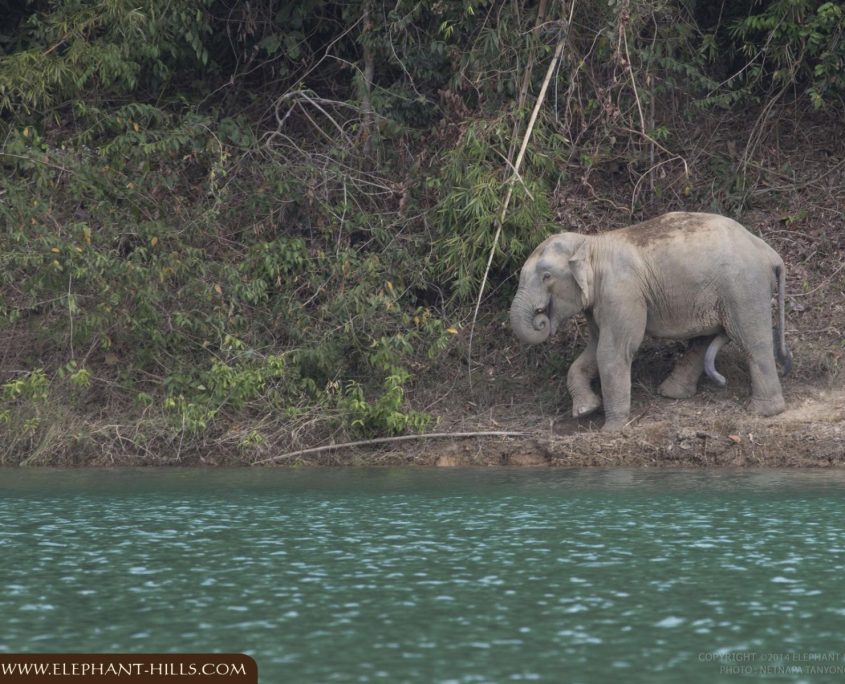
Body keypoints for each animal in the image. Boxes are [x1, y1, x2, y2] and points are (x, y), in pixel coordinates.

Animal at [509, 212, 792, 432]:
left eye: (546, 276)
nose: (541, 319)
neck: (591, 242)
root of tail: (771, 254)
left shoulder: (622, 293)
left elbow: (613, 350)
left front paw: (611, 429)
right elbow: (594, 348)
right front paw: (585, 410)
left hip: (743, 288)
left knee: (752, 341)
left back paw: (764, 411)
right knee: (704, 340)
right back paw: (672, 393)